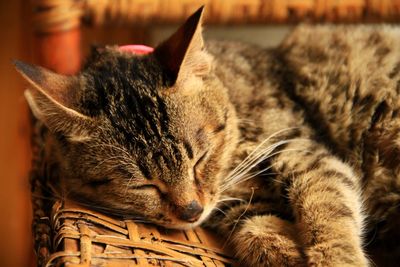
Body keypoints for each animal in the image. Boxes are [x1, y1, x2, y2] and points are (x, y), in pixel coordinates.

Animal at [14, 6, 400, 267]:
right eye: (143, 185)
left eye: (199, 158)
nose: (191, 211)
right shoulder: (241, 205)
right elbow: (259, 231)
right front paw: (283, 250)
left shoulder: (301, 147)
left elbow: (327, 208)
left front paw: (337, 258)